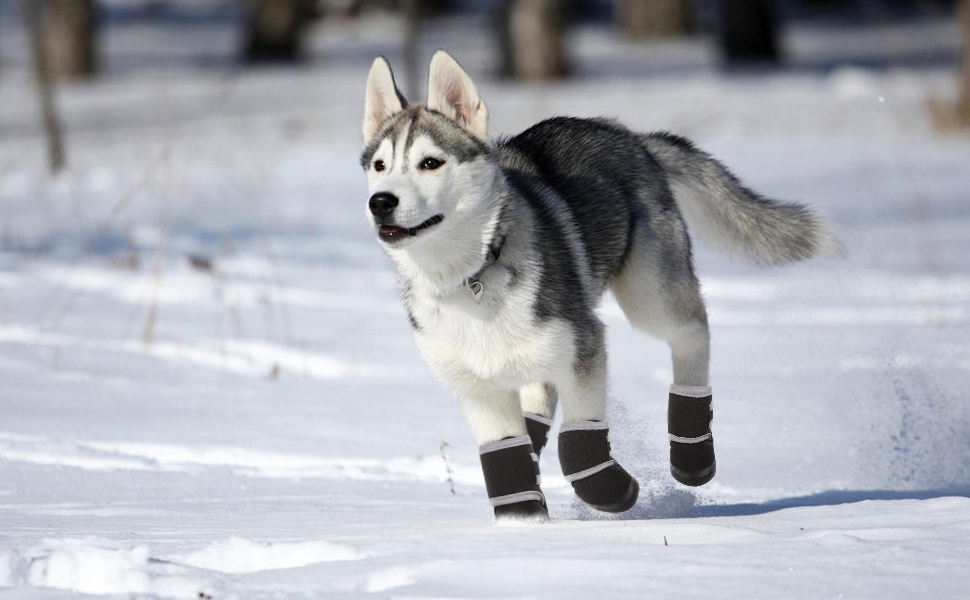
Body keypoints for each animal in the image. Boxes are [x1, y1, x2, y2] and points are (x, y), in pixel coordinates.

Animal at [360, 51, 828, 520]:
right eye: (380, 166)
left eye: (430, 163)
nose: (380, 202)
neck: (471, 275)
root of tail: (629, 136)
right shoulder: (478, 389)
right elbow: (507, 461)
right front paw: (524, 524)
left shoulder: (584, 348)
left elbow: (579, 443)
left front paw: (611, 489)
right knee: (539, 396)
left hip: (648, 294)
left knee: (693, 329)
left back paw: (692, 453)